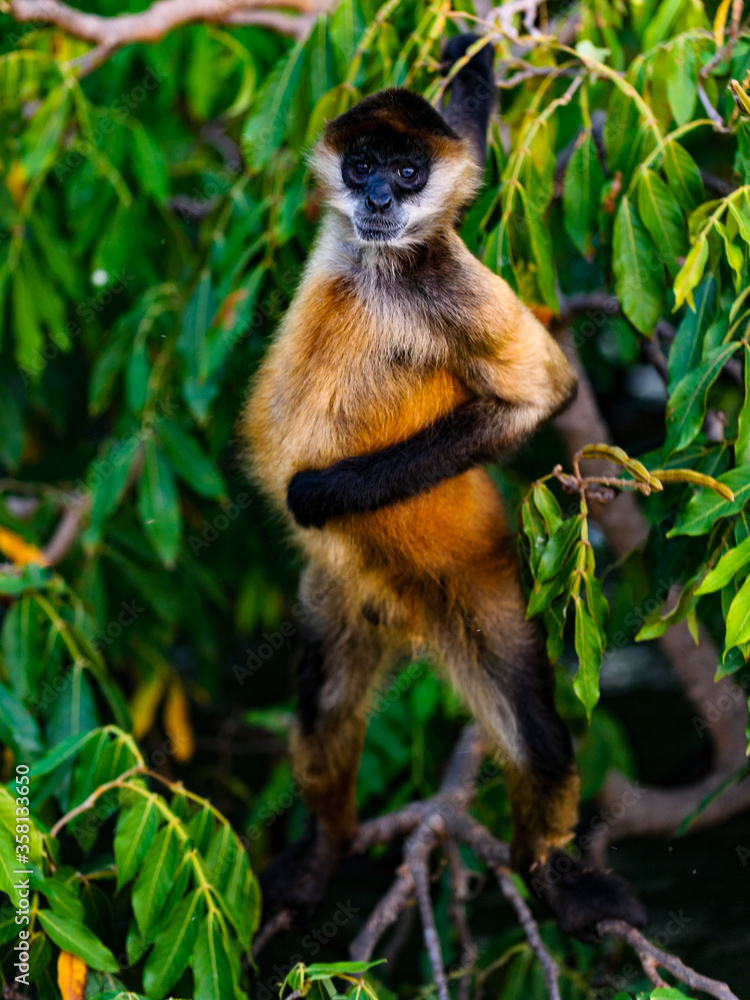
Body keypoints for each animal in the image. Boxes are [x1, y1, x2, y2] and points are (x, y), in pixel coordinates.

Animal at [241, 34, 647, 942]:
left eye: (407, 171)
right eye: (361, 164)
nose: (379, 197)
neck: (377, 262)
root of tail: (404, 608)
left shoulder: (444, 277)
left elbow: (544, 391)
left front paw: (314, 495)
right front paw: (474, 54)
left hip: (477, 583)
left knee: (537, 738)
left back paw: (551, 873)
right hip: (342, 594)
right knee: (325, 707)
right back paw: (326, 843)